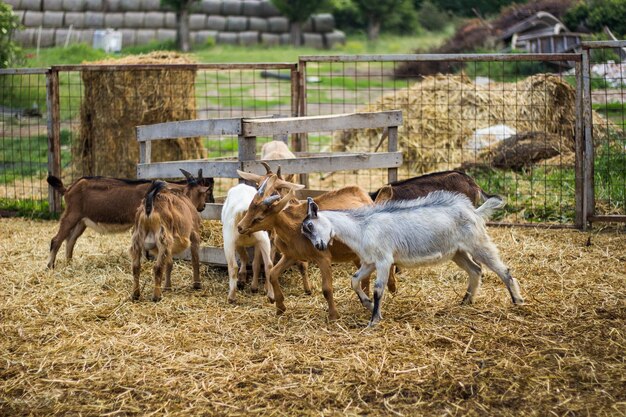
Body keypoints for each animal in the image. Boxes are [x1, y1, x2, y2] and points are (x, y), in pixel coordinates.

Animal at [45, 168, 212, 268]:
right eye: (204, 193)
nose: (202, 207)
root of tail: (68, 189)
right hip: (71, 215)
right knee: (56, 239)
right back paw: (50, 266)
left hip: (82, 221)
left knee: (70, 240)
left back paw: (69, 263)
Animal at [234, 174, 394, 320]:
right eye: (250, 208)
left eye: (259, 218)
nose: (240, 227)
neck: (293, 227)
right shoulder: (291, 256)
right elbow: (273, 274)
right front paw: (280, 308)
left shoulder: (323, 258)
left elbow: (327, 288)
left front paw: (333, 315)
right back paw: (367, 298)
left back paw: (391, 287)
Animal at [298, 190, 520, 326]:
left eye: (310, 226)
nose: (319, 246)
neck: (361, 228)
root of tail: (474, 211)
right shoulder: (370, 262)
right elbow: (354, 280)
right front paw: (367, 304)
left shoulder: (384, 260)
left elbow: (378, 289)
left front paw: (374, 319)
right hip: (457, 252)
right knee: (475, 269)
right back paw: (466, 300)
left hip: (477, 243)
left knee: (503, 269)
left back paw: (517, 300)